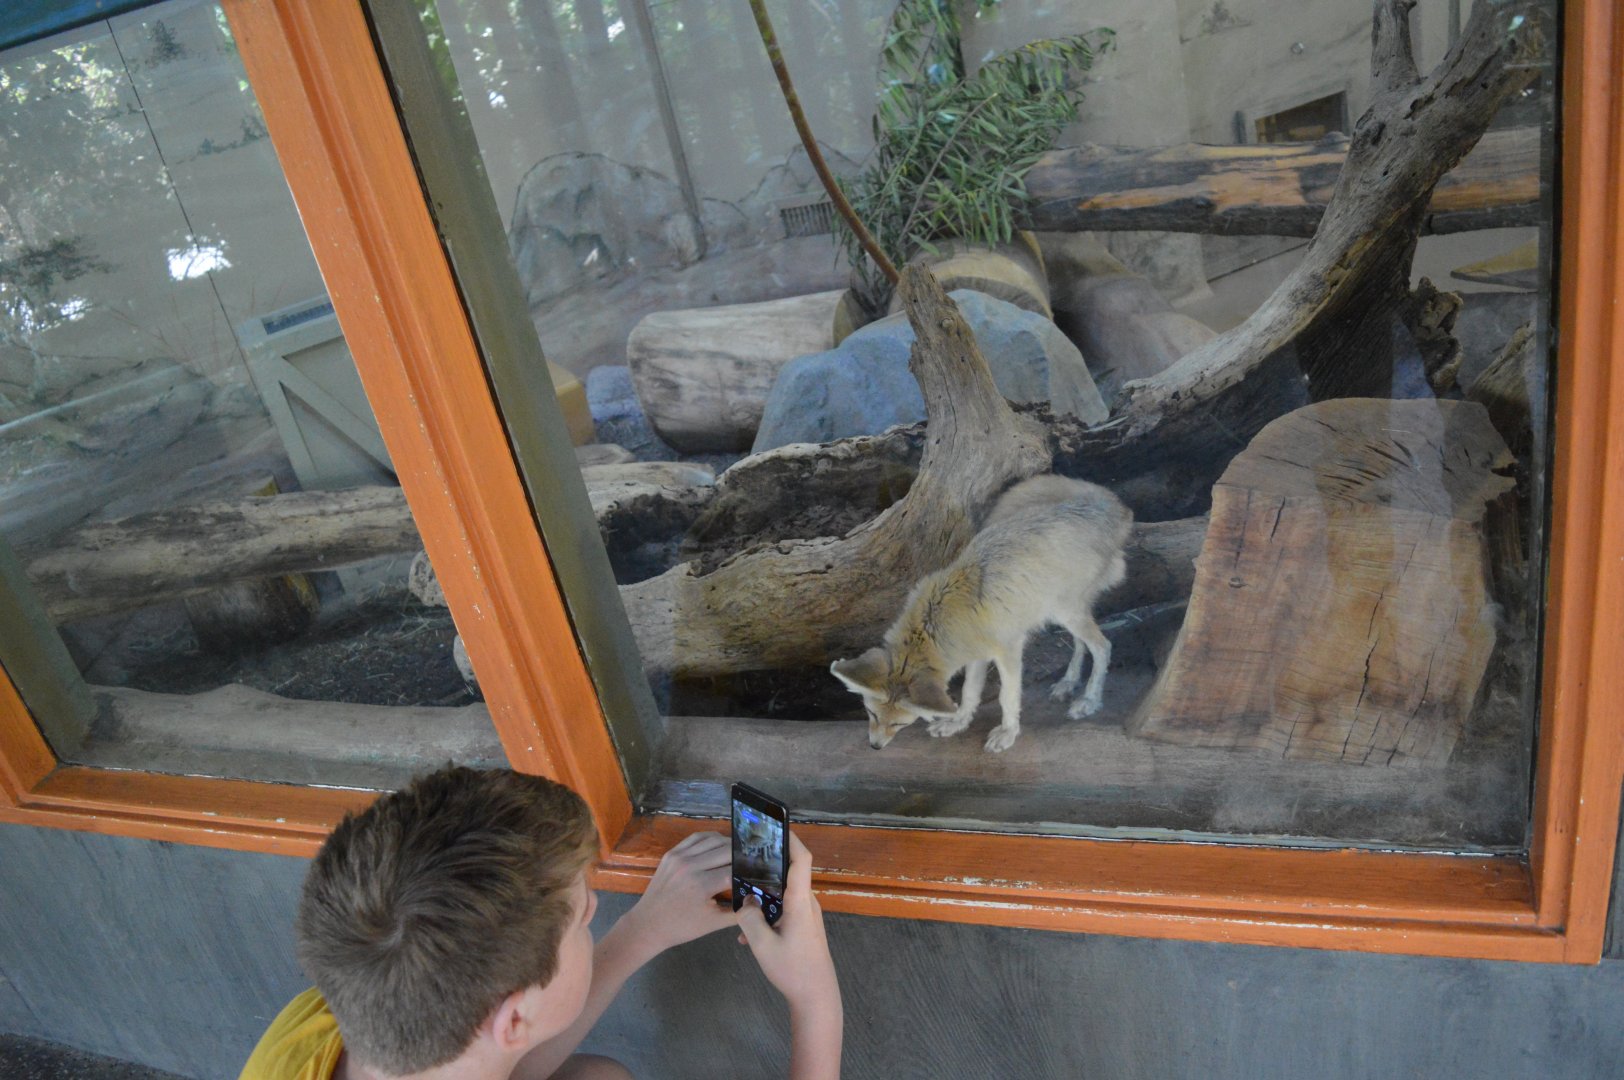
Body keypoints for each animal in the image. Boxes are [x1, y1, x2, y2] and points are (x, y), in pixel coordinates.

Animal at [831, 474, 1131, 753]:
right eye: (871, 714)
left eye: (899, 724)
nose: (875, 746)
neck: (941, 616)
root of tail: (1110, 505)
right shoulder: (975, 654)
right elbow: (968, 692)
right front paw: (958, 722)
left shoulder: (1008, 650)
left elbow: (1007, 697)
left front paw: (1007, 732)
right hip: (1061, 611)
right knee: (1082, 643)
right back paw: (1068, 683)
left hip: (1066, 611)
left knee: (1102, 646)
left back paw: (1089, 699)